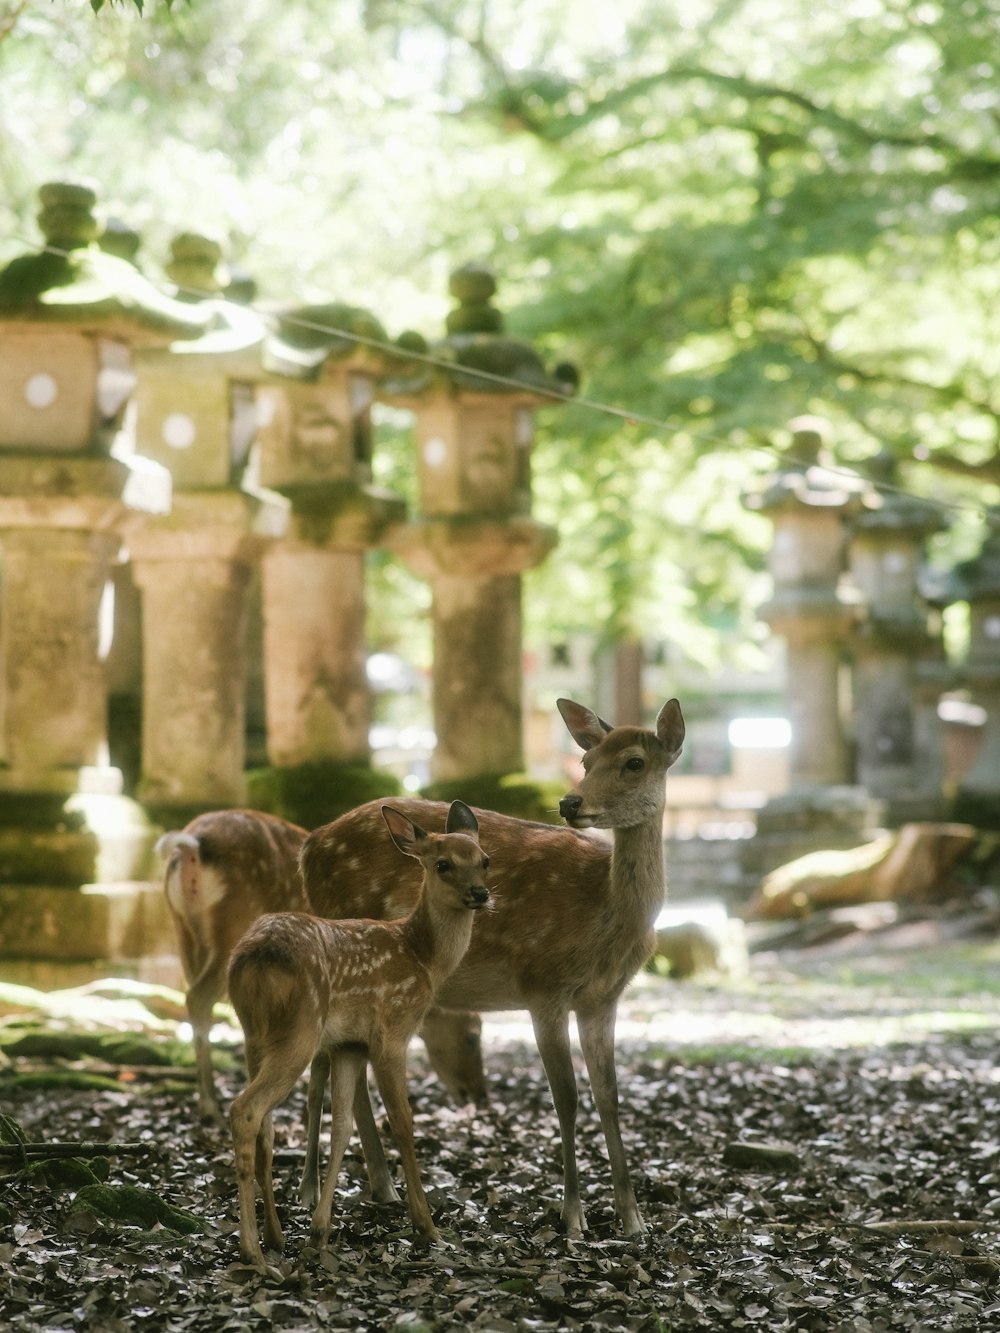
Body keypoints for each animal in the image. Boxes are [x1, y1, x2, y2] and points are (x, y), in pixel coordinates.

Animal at [228, 799, 493, 1269]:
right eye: (442, 864)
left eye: (484, 860)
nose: (480, 894)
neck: (422, 957)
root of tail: (255, 956)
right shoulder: (393, 1029)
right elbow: (402, 1122)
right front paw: (427, 1226)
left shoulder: (348, 1044)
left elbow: (342, 1127)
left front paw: (319, 1231)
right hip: (300, 1029)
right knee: (245, 1110)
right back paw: (252, 1251)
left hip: (253, 1032)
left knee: (266, 1127)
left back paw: (276, 1237)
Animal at [301, 698, 688, 1237]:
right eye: (587, 761)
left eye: (635, 762)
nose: (570, 803)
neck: (607, 919)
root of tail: (307, 846)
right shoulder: (542, 983)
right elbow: (566, 1097)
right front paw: (573, 1218)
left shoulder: (602, 998)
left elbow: (608, 1095)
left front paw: (633, 1219)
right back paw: (349, 1190)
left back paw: (379, 1187)